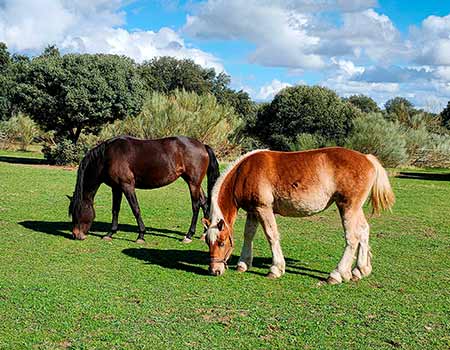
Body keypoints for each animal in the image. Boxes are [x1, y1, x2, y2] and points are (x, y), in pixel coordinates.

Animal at [68, 136, 220, 243]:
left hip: (193, 183)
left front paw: (140, 235)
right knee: (204, 202)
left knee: (196, 205)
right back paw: (204, 234)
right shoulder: (116, 188)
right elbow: (115, 210)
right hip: (194, 182)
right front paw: (110, 233)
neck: (107, 156)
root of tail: (203, 146)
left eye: (77, 212)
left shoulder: (127, 186)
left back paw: (189, 235)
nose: (75, 235)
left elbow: (135, 209)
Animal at [203, 148, 394, 284]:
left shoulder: (264, 209)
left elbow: (272, 236)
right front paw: (243, 264)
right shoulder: (253, 211)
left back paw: (337, 274)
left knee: (352, 238)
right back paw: (359, 270)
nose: (214, 270)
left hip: (347, 207)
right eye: (207, 242)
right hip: (355, 209)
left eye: (221, 242)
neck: (243, 172)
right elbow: (248, 235)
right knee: (364, 231)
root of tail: (367, 158)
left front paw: (276, 269)